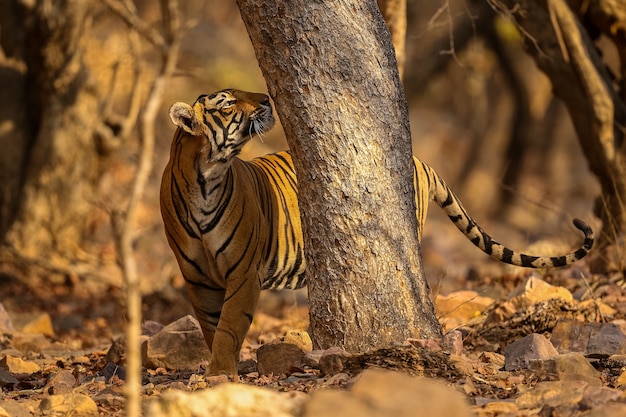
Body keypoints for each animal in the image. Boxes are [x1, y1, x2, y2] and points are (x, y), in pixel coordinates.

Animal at [158, 89, 592, 376]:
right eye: (228, 103)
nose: (266, 99)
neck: (206, 178)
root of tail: (418, 158)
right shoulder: (197, 277)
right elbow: (212, 325)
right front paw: (219, 369)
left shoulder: (244, 273)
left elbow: (230, 326)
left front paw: (221, 373)